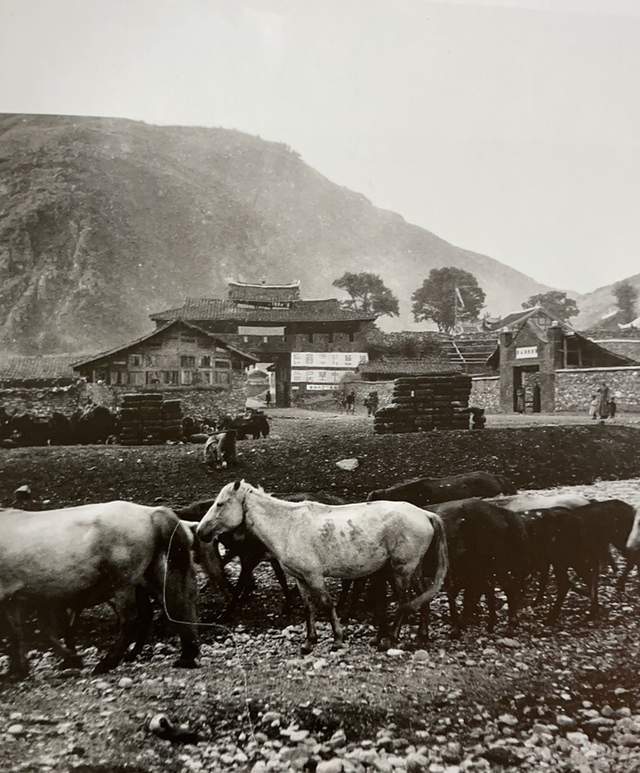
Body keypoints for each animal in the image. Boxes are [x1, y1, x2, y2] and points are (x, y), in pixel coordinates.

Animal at [196, 482, 450, 652]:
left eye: (220, 504)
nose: (200, 532)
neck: (288, 526)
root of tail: (425, 514)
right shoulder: (300, 578)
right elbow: (309, 607)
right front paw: (309, 641)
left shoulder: (314, 576)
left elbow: (326, 604)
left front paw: (337, 638)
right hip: (412, 570)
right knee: (422, 597)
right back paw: (421, 635)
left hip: (401, 570)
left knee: (405, 601)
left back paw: (392, 638)